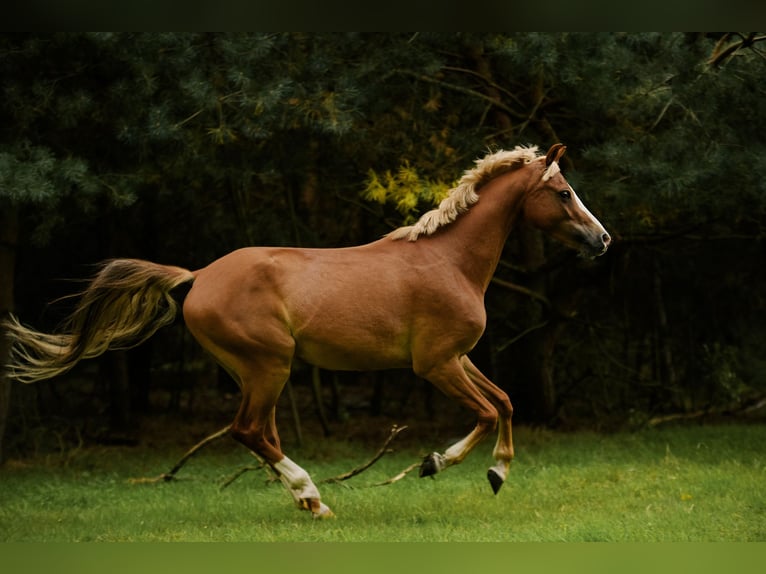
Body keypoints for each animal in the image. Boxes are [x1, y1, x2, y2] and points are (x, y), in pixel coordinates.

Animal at [3, 143, 610, 518]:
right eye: (563, 192)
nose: (602, 239)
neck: (449, 260)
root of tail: (197, 277)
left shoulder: (459, 358)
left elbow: (504, 401)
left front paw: (498, 473)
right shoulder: (436, 364)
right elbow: (484, 413)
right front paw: (434, 463)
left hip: (257, 373)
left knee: (261, 435)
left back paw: (308, 501)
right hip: (268, 366)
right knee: (249, 432)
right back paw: (312, 495)